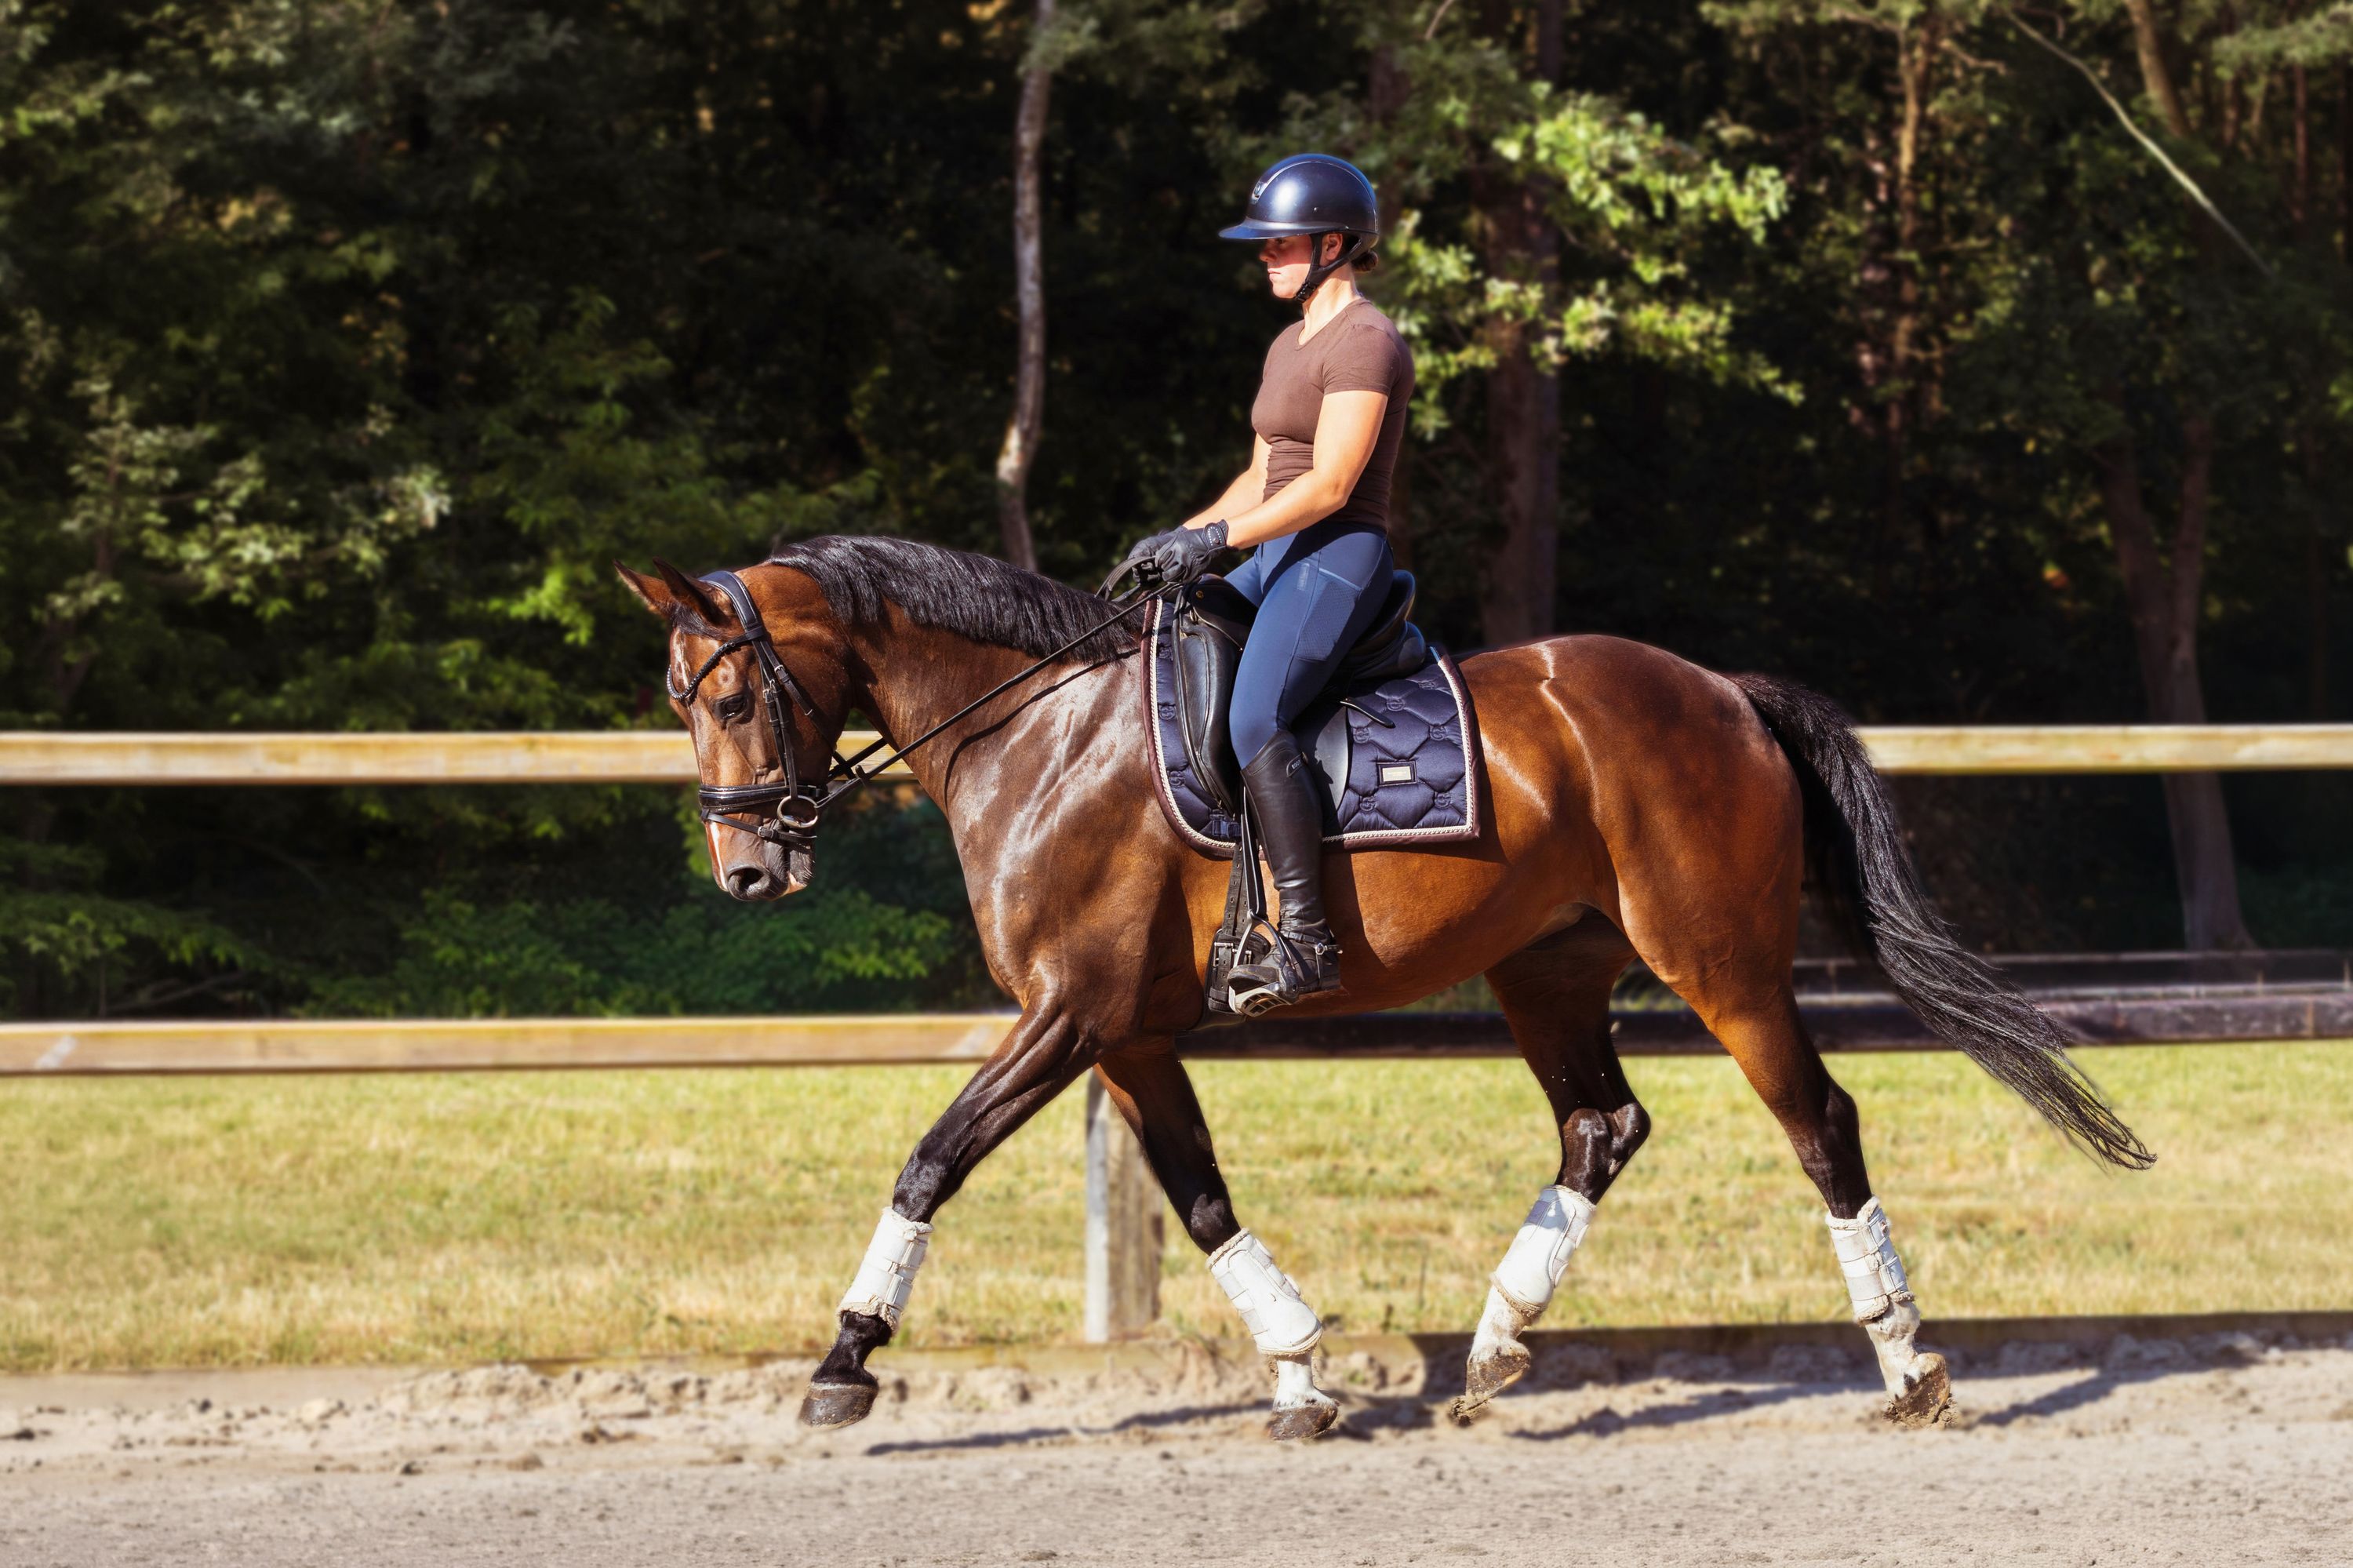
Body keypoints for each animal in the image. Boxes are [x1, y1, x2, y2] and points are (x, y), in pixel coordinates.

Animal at [617, 535, 2149, 1441]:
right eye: (682, 701)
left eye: (735, 695)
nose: (748, 867)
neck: (1037, 732)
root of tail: (1721, 689)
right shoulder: (1125, 1034)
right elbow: (1201, 1192)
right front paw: (1301, 1367)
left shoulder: (1069, 1015)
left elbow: (931, 1155)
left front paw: (845, 1357)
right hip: (1546, 968)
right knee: (1602, 1125)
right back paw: (1492, 1344)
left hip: (1722, 966)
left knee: (1819, 1121)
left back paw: (1908, 1364)